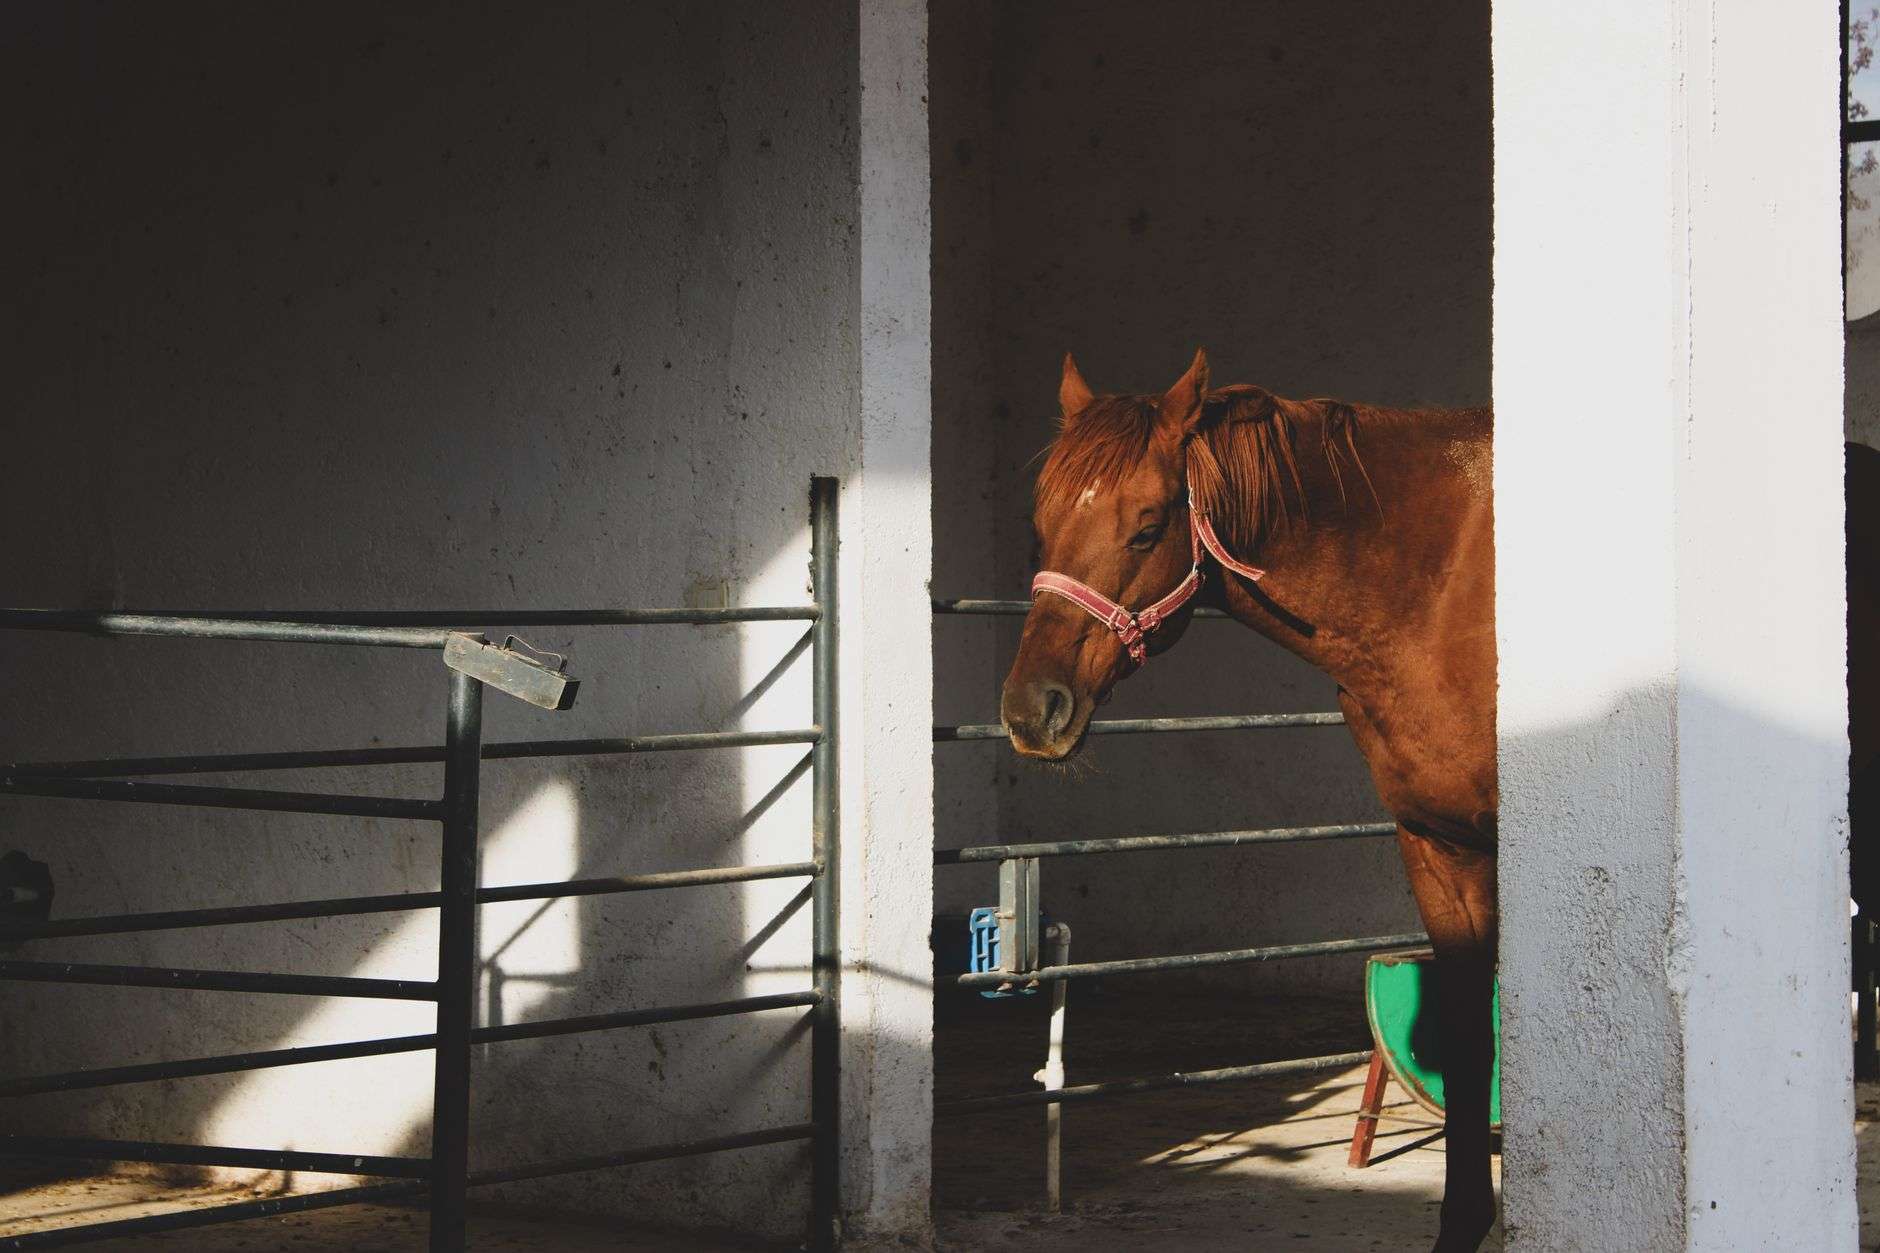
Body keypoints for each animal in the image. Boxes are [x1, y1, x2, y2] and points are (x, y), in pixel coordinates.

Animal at [1000, 349, 1497, 1251]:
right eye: (1040, 523)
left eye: (1148, 525)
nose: (1031, 709)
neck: (1442, 583)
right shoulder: (1438, 847)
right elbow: (1471, 1046)